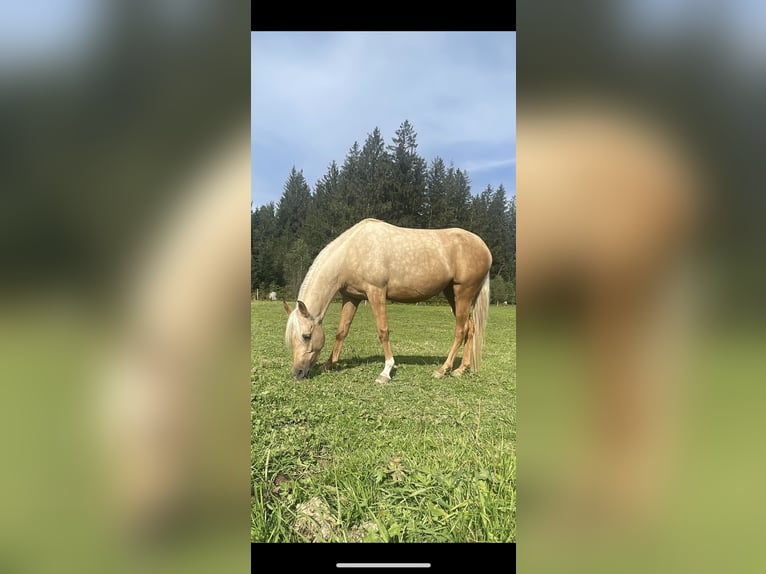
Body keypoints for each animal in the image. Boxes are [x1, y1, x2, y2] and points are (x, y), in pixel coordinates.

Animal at [284, 218, 496, 384]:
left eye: (306, 336)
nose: (297, 373)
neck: (352, 251)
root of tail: (483, 247)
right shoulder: (352, 297)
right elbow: (341, 331)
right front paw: (330, 364)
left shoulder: (376, 292)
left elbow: (383, 331)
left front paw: (386, 371)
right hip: (452, 293)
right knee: (470, 328)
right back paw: (461, 369)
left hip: (463, 292)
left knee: (460, 330)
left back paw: (443, 370)